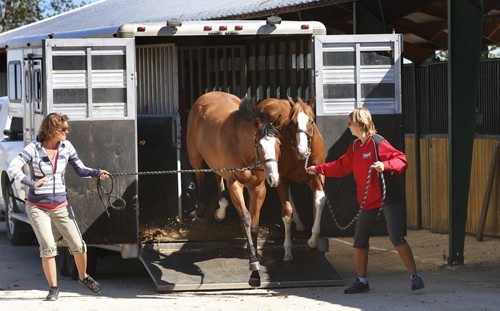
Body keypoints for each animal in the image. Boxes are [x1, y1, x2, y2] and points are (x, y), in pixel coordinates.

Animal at [188, 91, 282, 288]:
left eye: (278, 144)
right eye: (259, 145)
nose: (274, 178)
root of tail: (207, 95)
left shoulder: (258, 188)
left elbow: (254, 224)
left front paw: (255, 266)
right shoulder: (235, 185)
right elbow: (246, 218)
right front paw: (254, 268)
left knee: (218, 177)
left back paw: (220, 212)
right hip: (195, 156)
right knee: (200, 175)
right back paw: (201, 210)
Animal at [258, 97, 328, 264]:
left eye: (312, 121)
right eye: (292, 122)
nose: (303, 150)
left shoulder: (314, 176)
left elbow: (320, 201)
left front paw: (312, 242)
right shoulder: (281, 178)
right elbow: (286, 213)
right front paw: (288, 251)